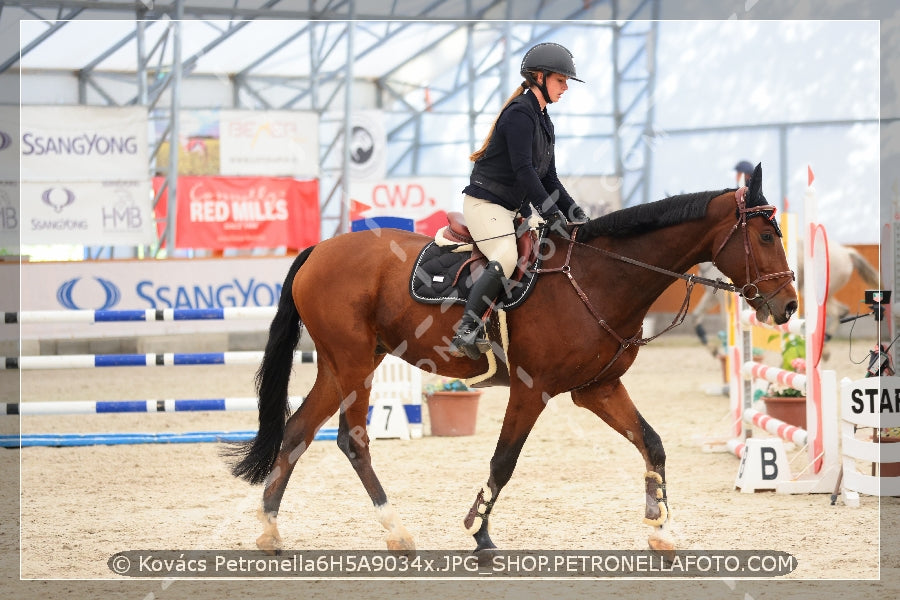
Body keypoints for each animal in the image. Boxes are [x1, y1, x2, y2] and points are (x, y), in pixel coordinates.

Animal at [225, 162, 796, 556]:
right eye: (767, 235)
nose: (788, 306)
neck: (600, 276)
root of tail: (319, 250)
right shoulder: (531, 389)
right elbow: (504, 460)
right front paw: (479, 533)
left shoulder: (598, 389)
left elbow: (651, 445)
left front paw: (661, 529)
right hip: (353, 364)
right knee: (349, 439)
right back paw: (388, 530)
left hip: (341, 365)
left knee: (303, 433)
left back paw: (277, 531)